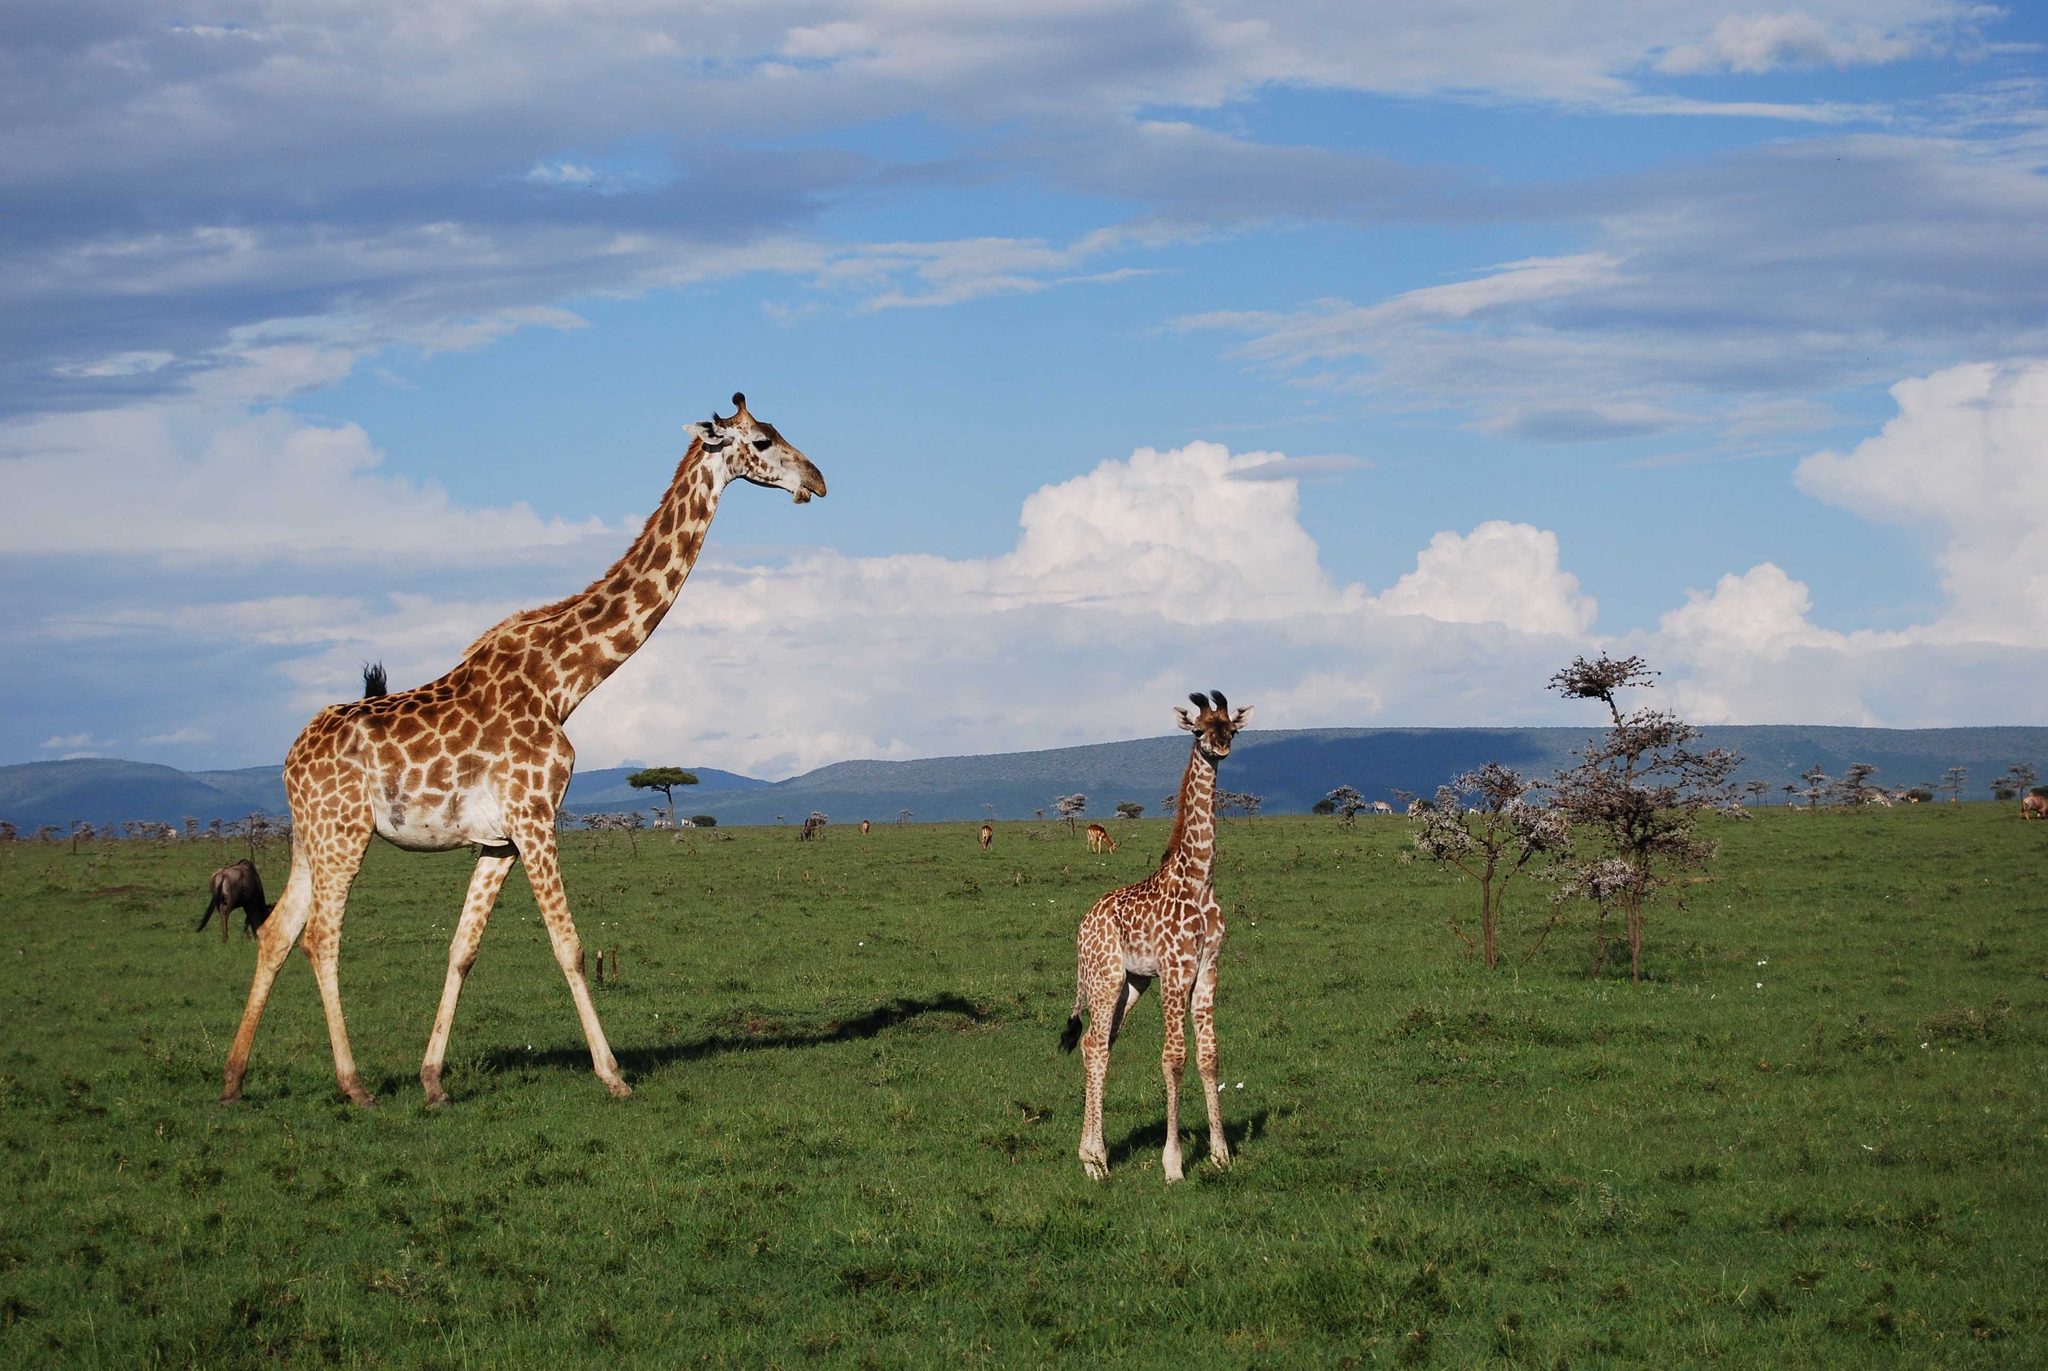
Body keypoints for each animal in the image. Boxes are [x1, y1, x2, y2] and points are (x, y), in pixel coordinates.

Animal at [219, 393, 825, 1108]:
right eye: (761, 442)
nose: (817, 480)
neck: (565, 681)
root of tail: (291, 759)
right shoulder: (536, 816)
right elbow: (569, 945)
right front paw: (613, 1075)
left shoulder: (498, 840)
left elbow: (462, 950)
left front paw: (433, 1081)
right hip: (345, 832)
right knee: (321, 937)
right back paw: (353, 1084)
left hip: (307, 835)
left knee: (278, 930)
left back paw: (233, 1078)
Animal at [1060, 690, 1251, 1182]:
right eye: (1199, 730)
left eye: (1231, 727)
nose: (1221, 746)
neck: (1199, 879)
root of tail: (1082, 925)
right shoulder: (1174, 971)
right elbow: (1174, 1058)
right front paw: (1174, 1164)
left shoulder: (1207, 969)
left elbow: (1209, 1056)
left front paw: (1220, 1154)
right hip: (1105, 978)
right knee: (1096, 1046)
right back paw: (1097, 1161)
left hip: (1132, 983)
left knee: (1095, 1044)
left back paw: (1089, 1154)